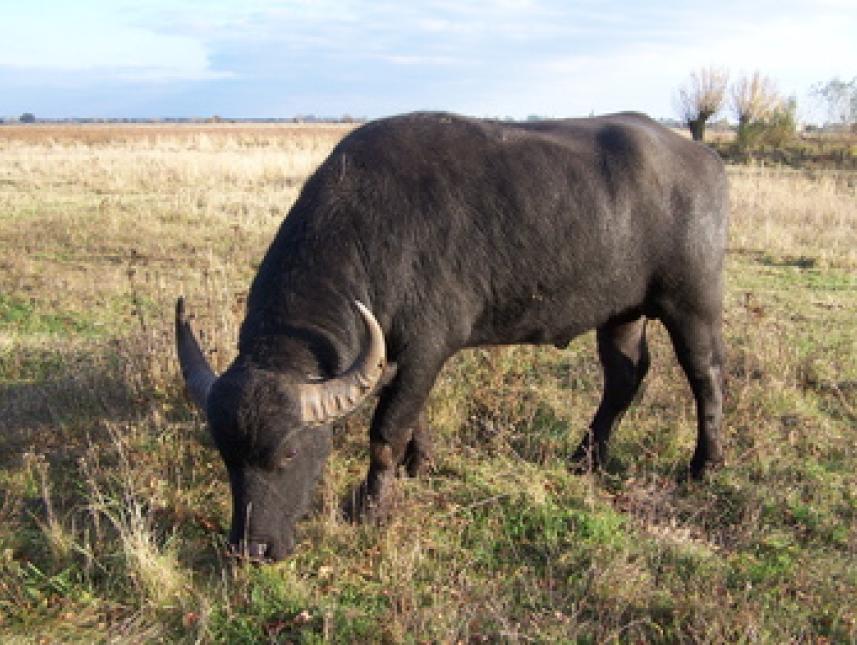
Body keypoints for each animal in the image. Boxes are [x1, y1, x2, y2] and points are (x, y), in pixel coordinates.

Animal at [177, 110, 724, 560]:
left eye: (288, 453)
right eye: (225, 454)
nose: (251, 549)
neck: (370, 229)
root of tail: (703, 158)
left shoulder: (427, 347)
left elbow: (386, 429)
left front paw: (372, 507)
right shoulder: (397, 353)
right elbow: (410, 415)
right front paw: (420, 464)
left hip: (692, 305)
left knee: (706, 376)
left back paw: (705, 465)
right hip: (621, 313)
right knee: (623, 377)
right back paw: (585, 458)